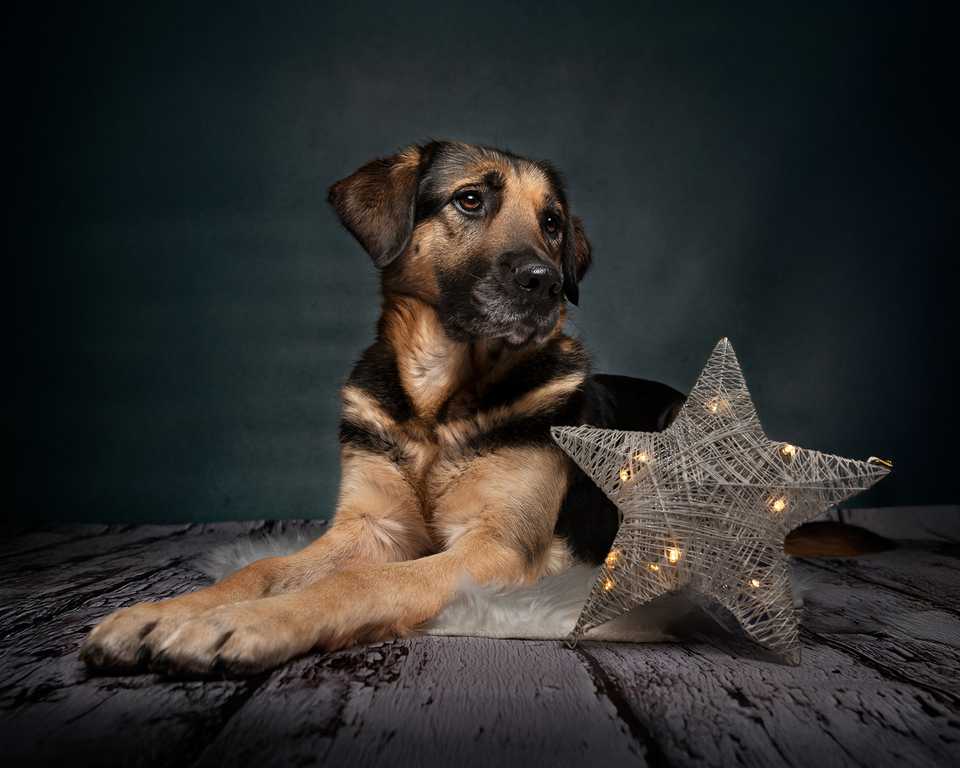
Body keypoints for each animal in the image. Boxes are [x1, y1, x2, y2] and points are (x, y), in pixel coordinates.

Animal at [82, 140, 872, 677]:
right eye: (470, 200)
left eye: (551, 222)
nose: (546, 281)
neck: (439, 404)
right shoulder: (368, 528)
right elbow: (260, 570)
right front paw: (159, 615)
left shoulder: (492, 548)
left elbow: (359, 582)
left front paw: (245, 626)